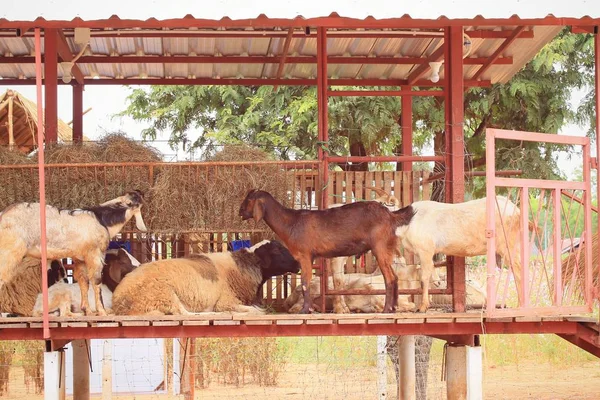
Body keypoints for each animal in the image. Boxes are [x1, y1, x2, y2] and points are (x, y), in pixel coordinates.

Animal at [0, 191, 148, 316]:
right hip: (10, 251)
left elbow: (84, 282)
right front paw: (102, 312)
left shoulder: (80, 259)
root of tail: (3, 215)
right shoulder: (94, 255)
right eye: (123, 260)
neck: (102, 220)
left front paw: (88, 311)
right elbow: (96, 281)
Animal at [111, 241, 298, 316]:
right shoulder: (226, 301)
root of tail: (119, 302)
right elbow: (255, 310)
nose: (298, 264)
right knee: (184, 313)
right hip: (163, 293)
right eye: (277, 250)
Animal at [237, 189, 414, 314]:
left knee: (390, 278)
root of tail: (391, 215)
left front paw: (304, 310)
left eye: (249, 199)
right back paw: (393, 308)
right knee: (394, 277)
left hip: (380, 247)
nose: (240, 212)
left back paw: (386, 310)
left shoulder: (305, 255)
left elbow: (305, 283)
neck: (290, 222)